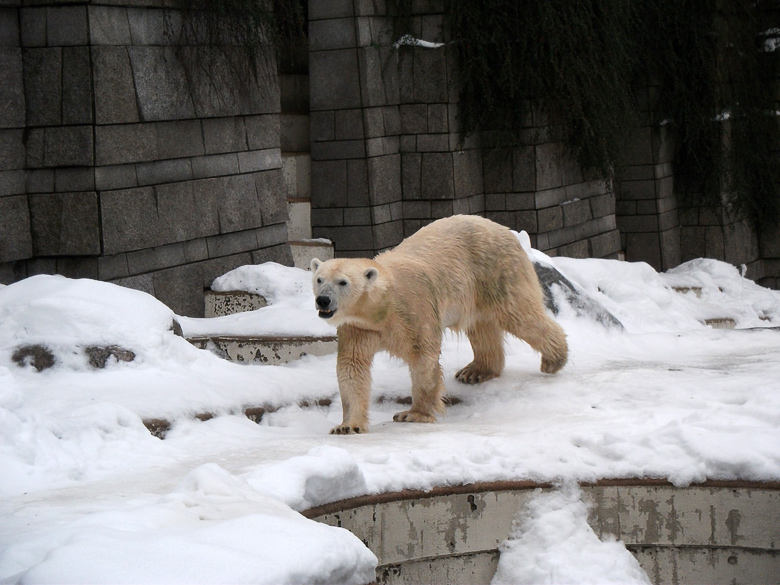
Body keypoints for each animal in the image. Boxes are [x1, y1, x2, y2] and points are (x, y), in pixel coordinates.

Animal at [310, 214, 568, 434]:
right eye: (319, 279)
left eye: (342, 282)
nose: (323, 300)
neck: (383, 308)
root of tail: (506, 231)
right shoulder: (359, 327)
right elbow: (352, 367)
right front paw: (347, 426)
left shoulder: (413, 311)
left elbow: (423, 358)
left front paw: (414, 414)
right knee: (482, 327)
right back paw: (475, 371)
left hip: (496, 270)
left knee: (519, 314)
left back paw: (554, 360)